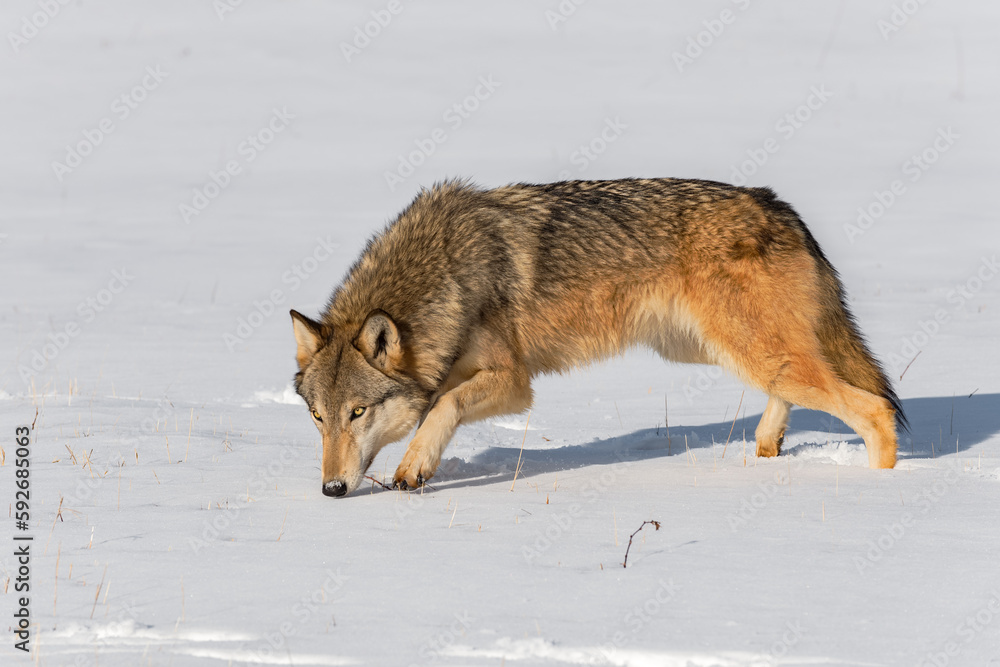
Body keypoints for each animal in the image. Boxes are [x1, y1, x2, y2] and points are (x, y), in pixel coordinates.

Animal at [290, 178, 906, 497]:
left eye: (358, 412)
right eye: (319, 417)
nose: (331, 490)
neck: (447, 275)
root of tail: (780, 205)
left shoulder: (515, 384)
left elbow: (444, 406)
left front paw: (414, 466)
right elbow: (441, 402)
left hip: (744, 351)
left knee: (873, 408)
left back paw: (883, 493)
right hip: (712, 351)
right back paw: (765, 448)